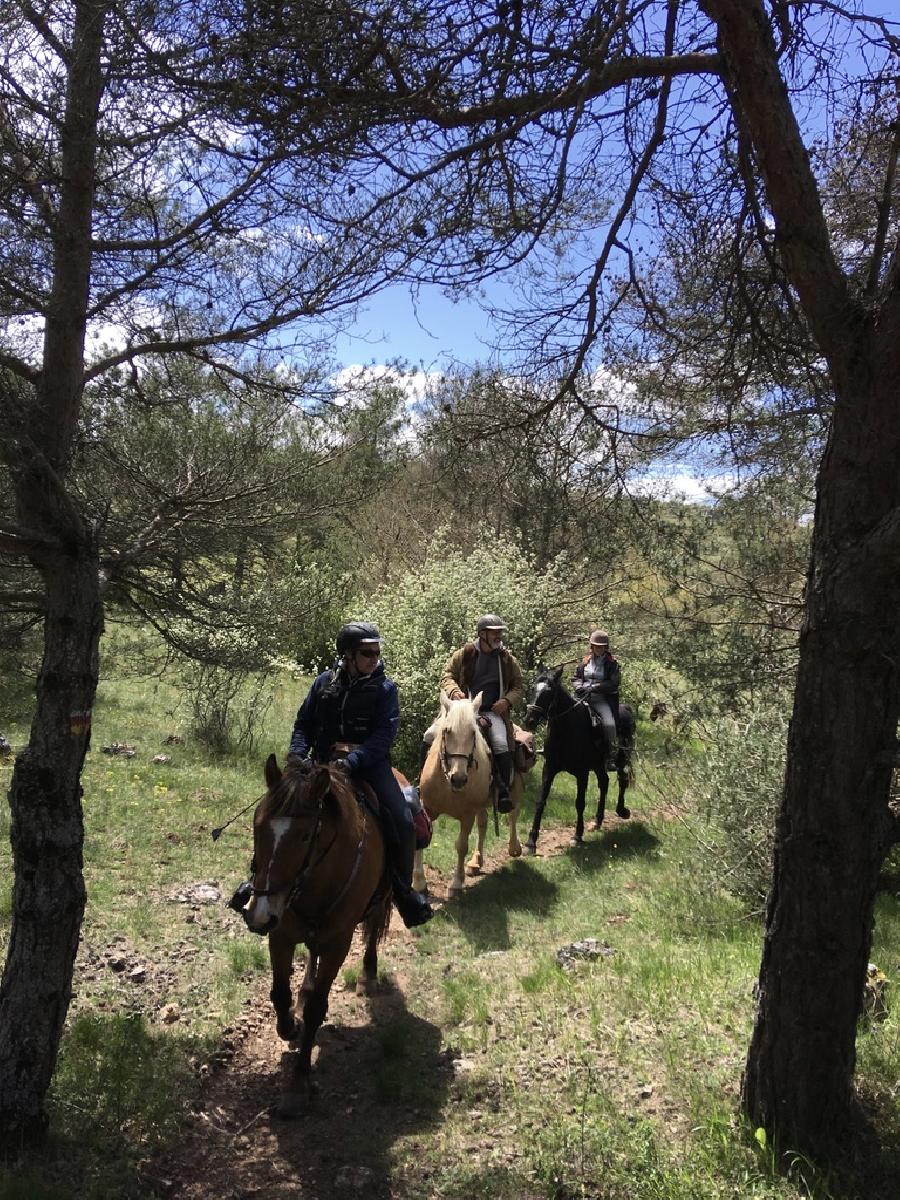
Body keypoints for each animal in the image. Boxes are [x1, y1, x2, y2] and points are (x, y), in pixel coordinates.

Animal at [243, 758, 391, 1113]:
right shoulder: (281, 934)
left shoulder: (339, 943)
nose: (258, 916)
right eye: (257, 825)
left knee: (372, 932)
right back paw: (304, 991)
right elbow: (279, 994)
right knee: (312, 953)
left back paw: (367, 975)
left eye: (305, 835)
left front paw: (298, 1084)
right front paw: (290, 1026)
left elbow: (316, 1009)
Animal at [520, 667, 633, 854]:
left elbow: (580, 803)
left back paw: (622, 811)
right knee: (604, 782)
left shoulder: (582, 773)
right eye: (533, 689)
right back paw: (598, 821)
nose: (529, 720)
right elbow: (540, 802)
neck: (566, 730)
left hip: (621, 758)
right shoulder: (549, 769)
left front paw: (577, 836)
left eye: (549, 692)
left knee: (622, 779)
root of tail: (627, 710)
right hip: (598, 765)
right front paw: (531, 842)